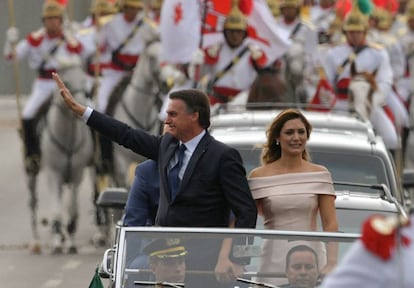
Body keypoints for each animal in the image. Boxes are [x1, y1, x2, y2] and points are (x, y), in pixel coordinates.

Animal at [40, 63, 94, 254]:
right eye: (67, 82)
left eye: (85, 81)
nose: (81, 103)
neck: (68, 139)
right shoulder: (54, 173)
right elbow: (57, 210)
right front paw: (57, 241)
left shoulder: (77, 174)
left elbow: (72, 208)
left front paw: (70, 240)